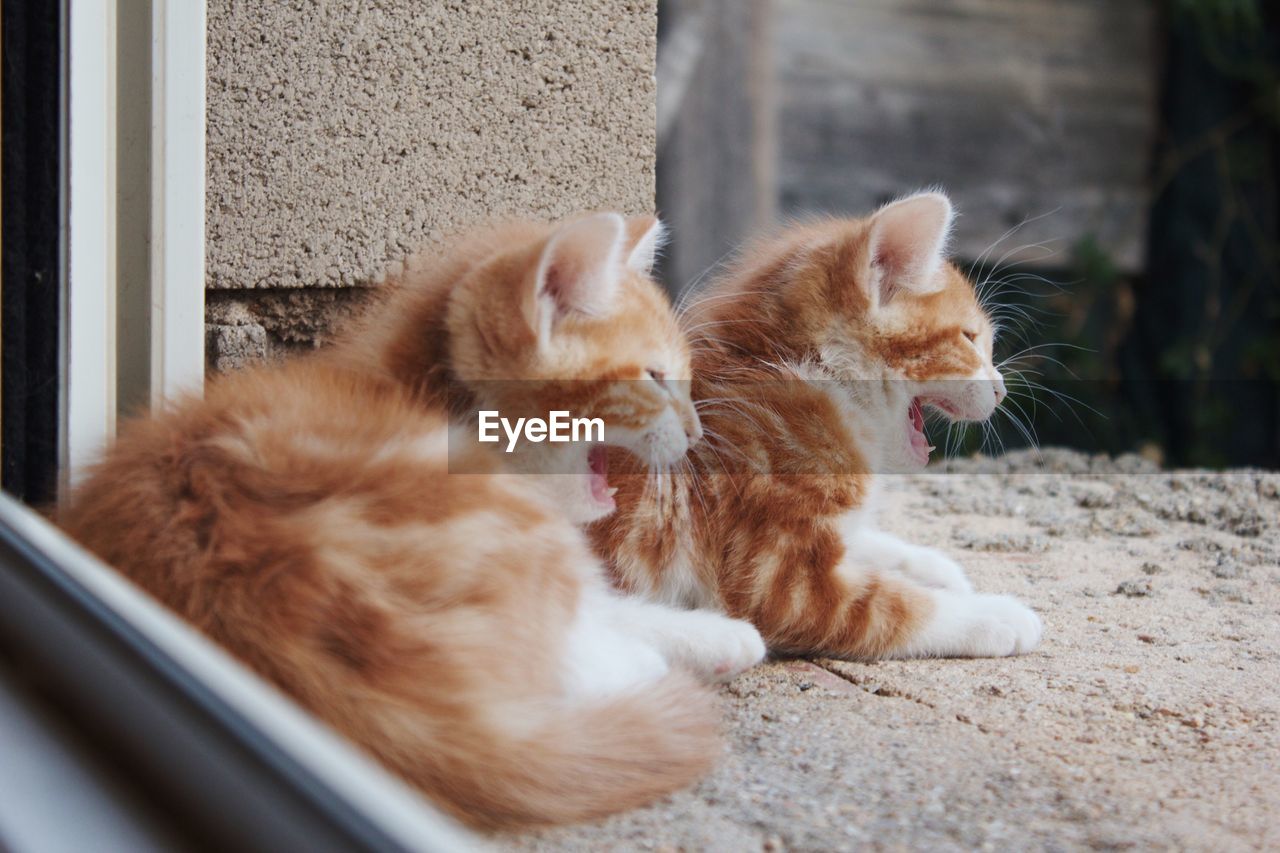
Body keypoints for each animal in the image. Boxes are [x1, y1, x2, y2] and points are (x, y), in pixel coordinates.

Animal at [60, 211, 762, 824]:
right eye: (655, 376)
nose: (697, 433)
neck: (426, 397)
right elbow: (602, 618)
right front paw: (713, 639)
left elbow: (617, 608)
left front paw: (720, 636)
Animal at [593, 190, 1044, 655]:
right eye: (970, 339)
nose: (1001, 391)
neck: (814, 374)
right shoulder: (778, 578)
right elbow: (892, 607)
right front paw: (994, 614)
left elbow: (864, 538)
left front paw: (932, 564)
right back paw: (717, 639)